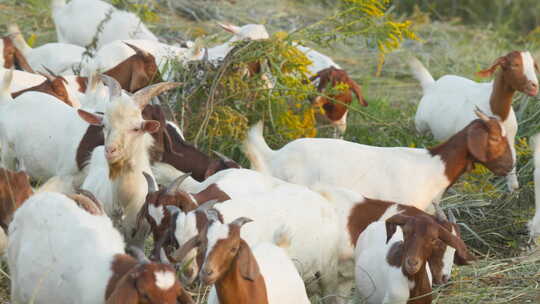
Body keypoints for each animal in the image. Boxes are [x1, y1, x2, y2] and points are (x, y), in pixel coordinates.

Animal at [412, 51, 536, 190]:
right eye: (515, 64)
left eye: (534, 65)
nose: (534, 87)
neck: (496, 111)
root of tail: (431, 85)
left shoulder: (509, 139)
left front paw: (514, 189)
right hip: (421, 125)